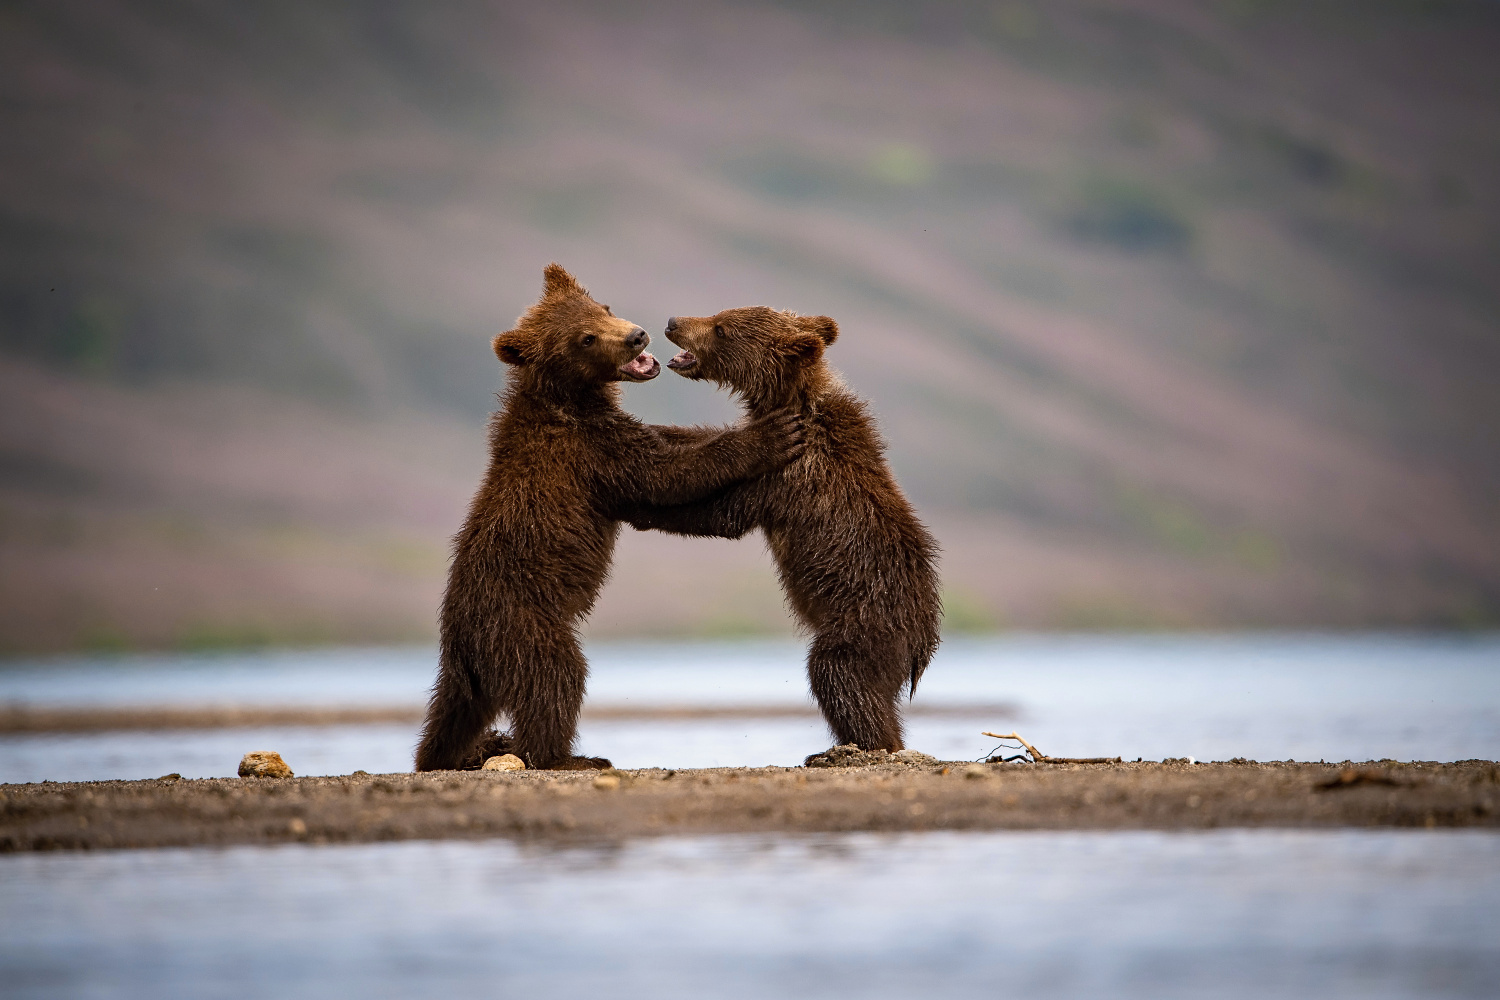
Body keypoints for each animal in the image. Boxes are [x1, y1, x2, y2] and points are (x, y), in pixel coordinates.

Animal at [417, 269, 804, 773]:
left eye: (602, 308)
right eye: (586, 338)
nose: (636, 335)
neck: (573, 399)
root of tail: (461, 640)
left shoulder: (610, 434)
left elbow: (667, 451)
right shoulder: (592, 451)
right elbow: (665, 473)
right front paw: (772, 433)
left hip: (469, 671)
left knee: (450, 714)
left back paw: (443, 754)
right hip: (523, 623)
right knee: (556, 679)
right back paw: (569, 756)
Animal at [630, 308, 936, 755]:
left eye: (722, 328)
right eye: (720, 313)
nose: (673, 322)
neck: (789, 401)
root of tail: (923, 643)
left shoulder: (793, 474)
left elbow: (723, 512)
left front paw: (636, 506)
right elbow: (706, 441)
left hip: (865, 619)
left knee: (840, 676)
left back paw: (855, 747)